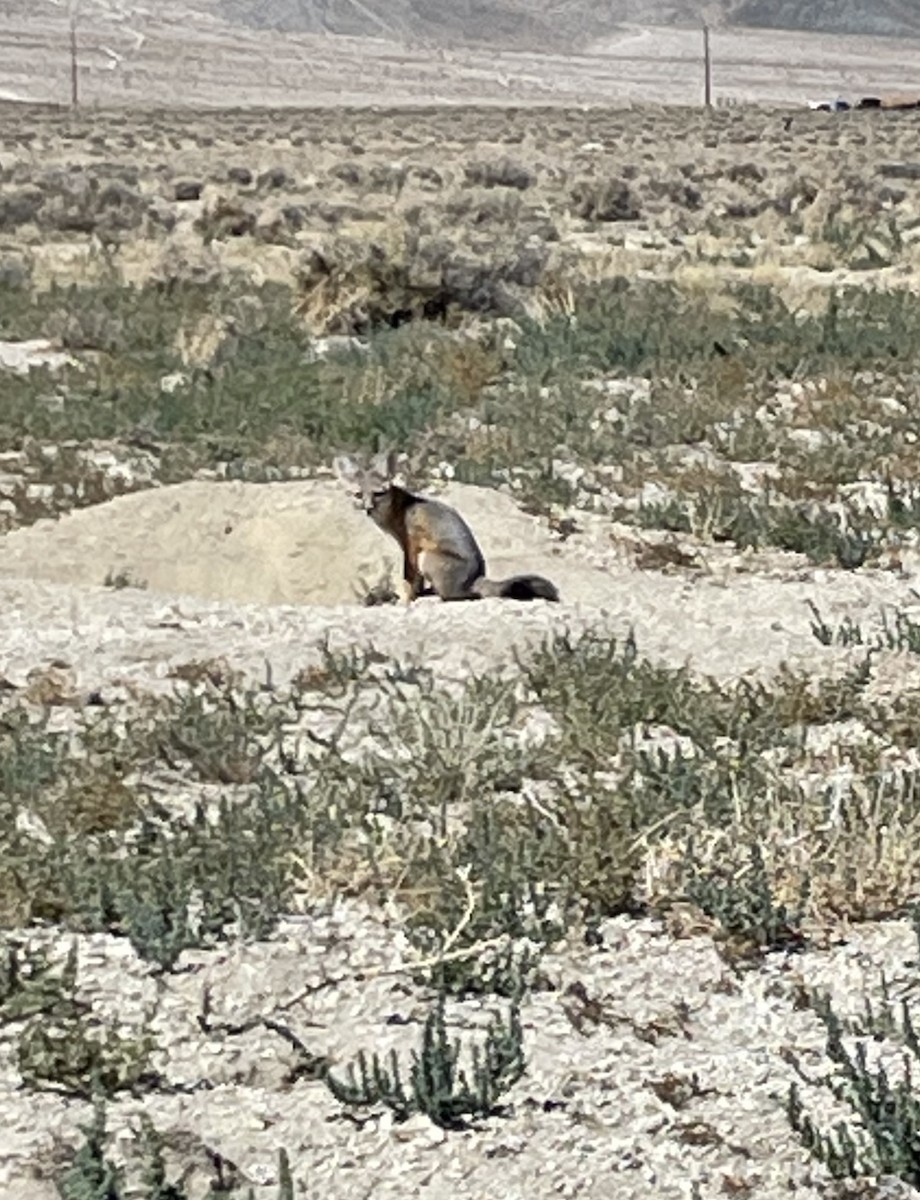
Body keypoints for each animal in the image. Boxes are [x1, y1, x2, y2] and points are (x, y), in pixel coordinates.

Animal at [334, 452, 560, 604]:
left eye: (378, 494)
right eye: (358, 495)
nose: (368, 508)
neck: (400, 508)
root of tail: (475, 578)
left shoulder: (412, 545)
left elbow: (409, 579)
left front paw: (406, 600)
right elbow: (415, 581)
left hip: (426, 556)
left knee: (461, 596)